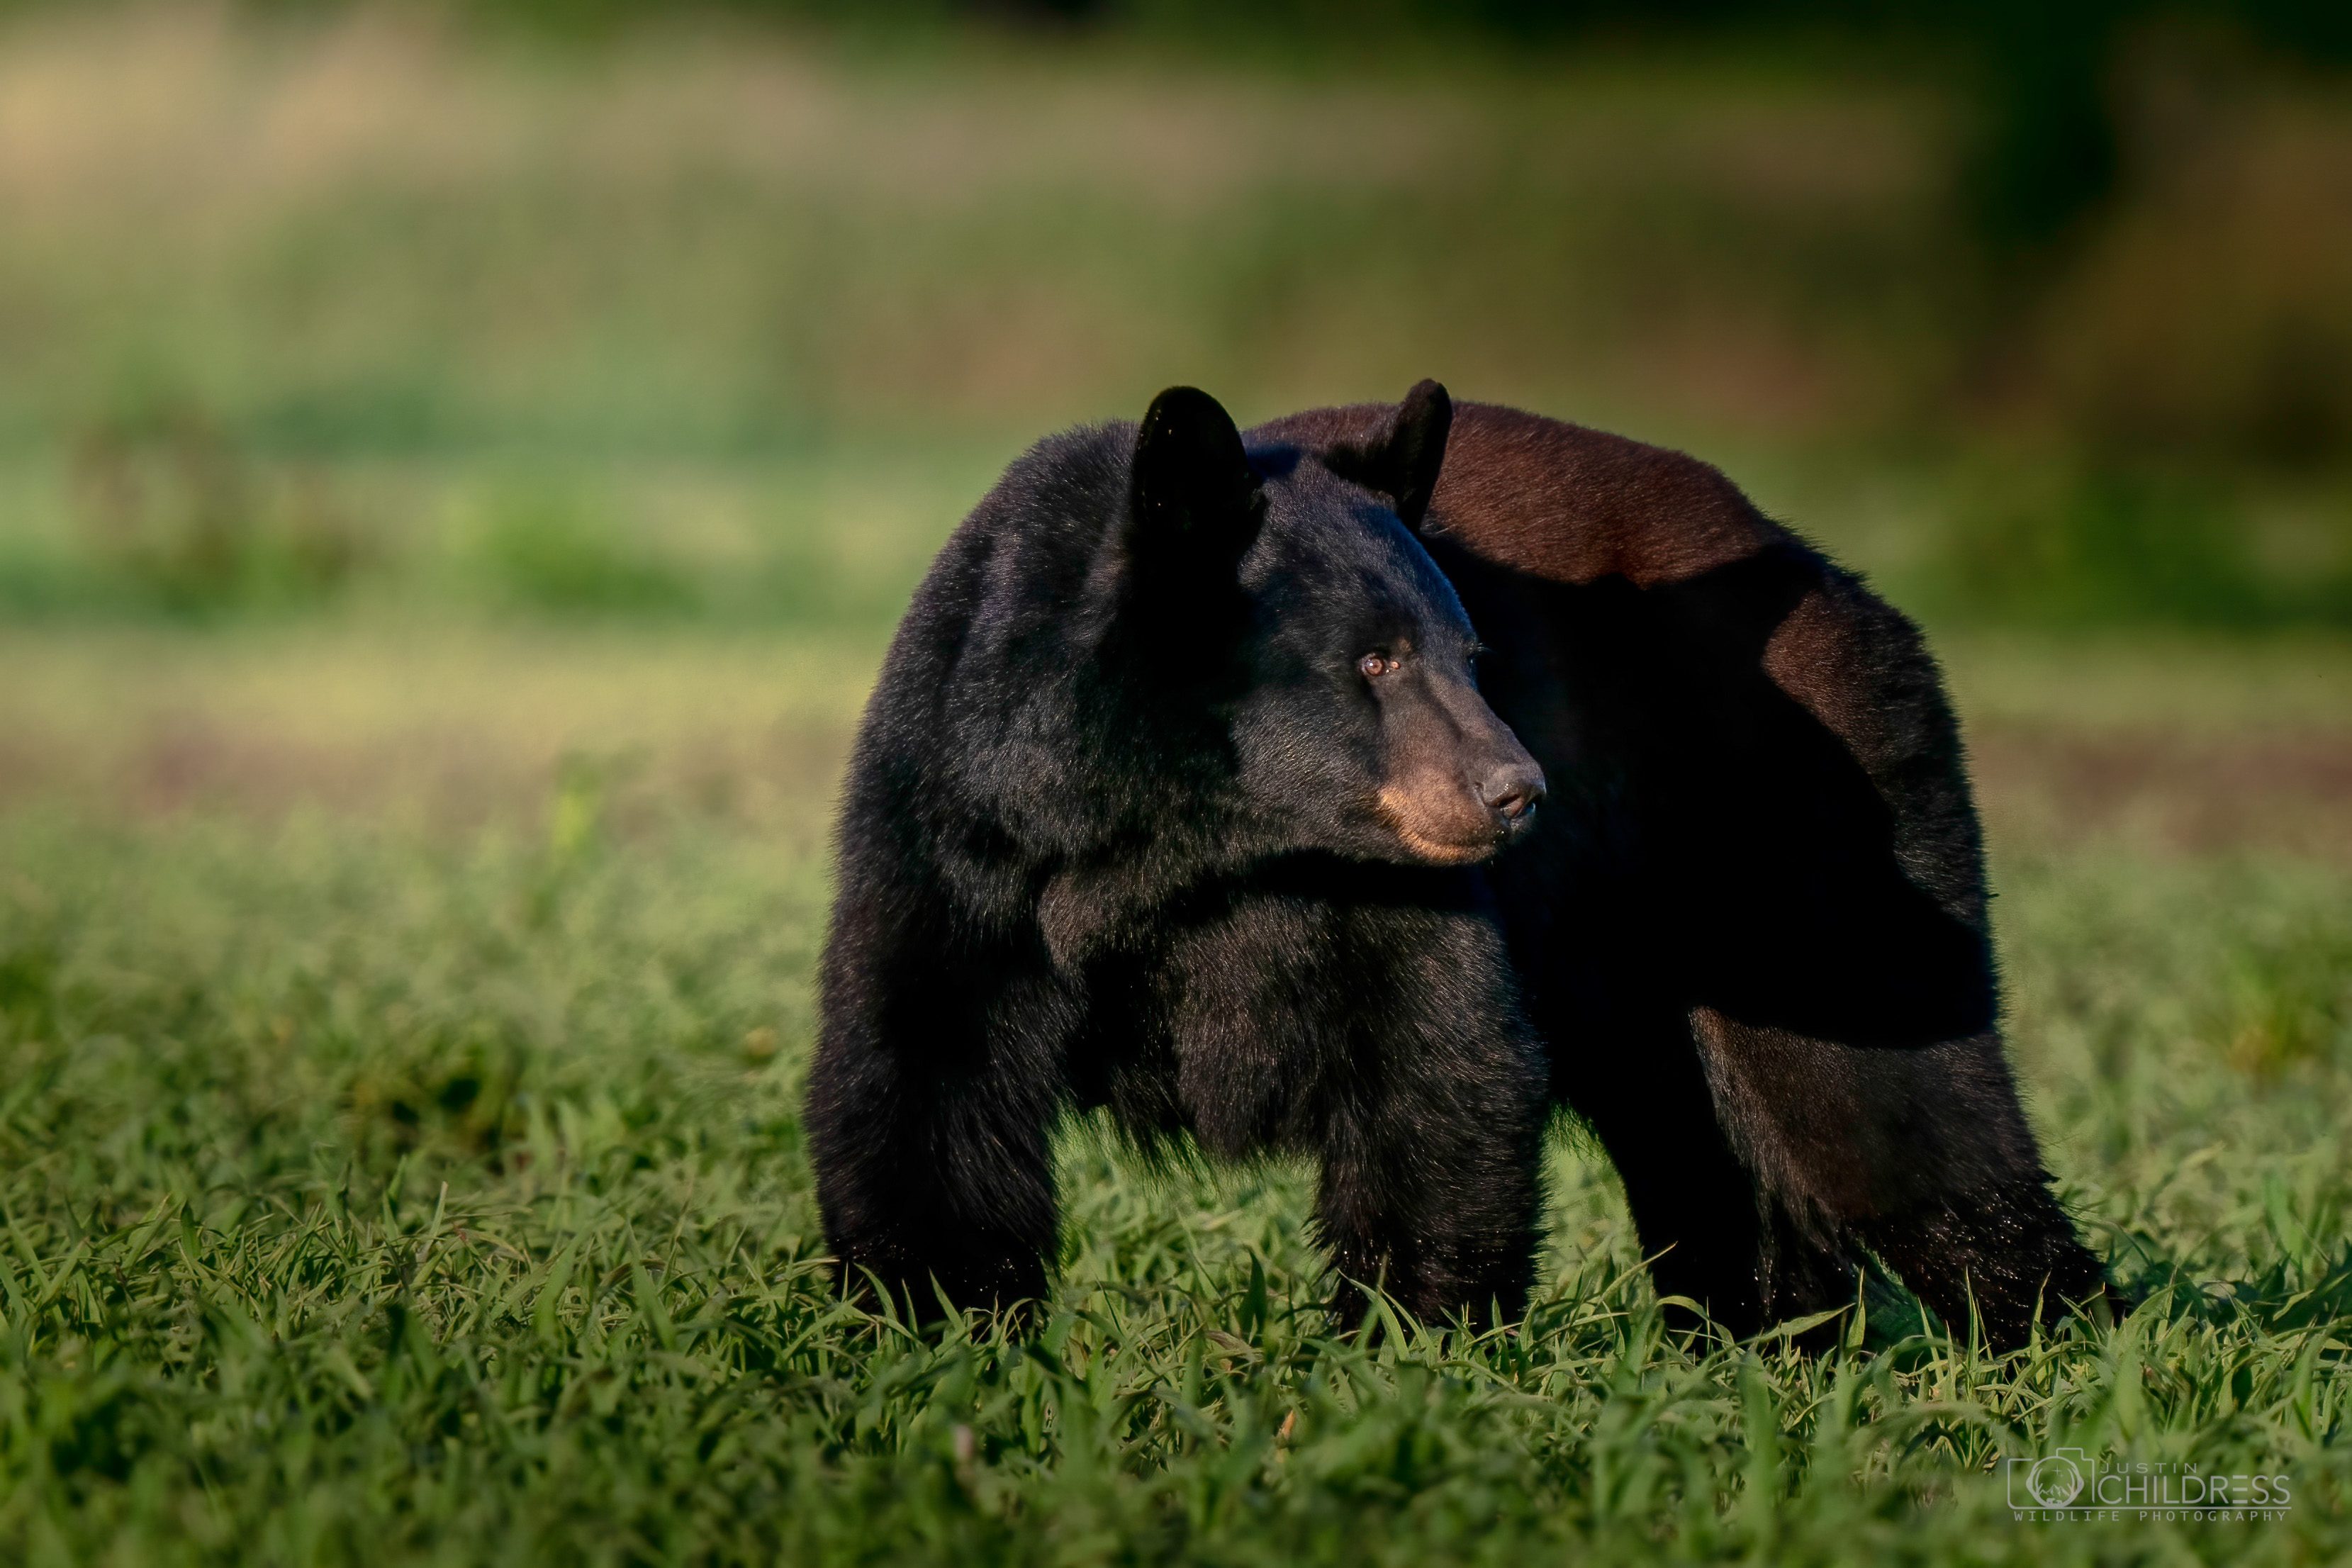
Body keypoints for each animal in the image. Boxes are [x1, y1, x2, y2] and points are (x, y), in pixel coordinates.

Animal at [814, 381, 2117, 1354]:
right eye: (1375, 659)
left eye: (1472, 651)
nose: (1520, 791)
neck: (1192, 843)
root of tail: (1827, 575)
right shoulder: (962, 839)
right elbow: (922, 1072)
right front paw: (930, 1330)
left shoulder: (1401, 895)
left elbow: (1439, 1065)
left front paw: (1399, 1349)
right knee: (1704, 1144)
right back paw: (1769, 1341)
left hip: (1792, 835)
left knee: (1897, 1103)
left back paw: (2049, 1340)